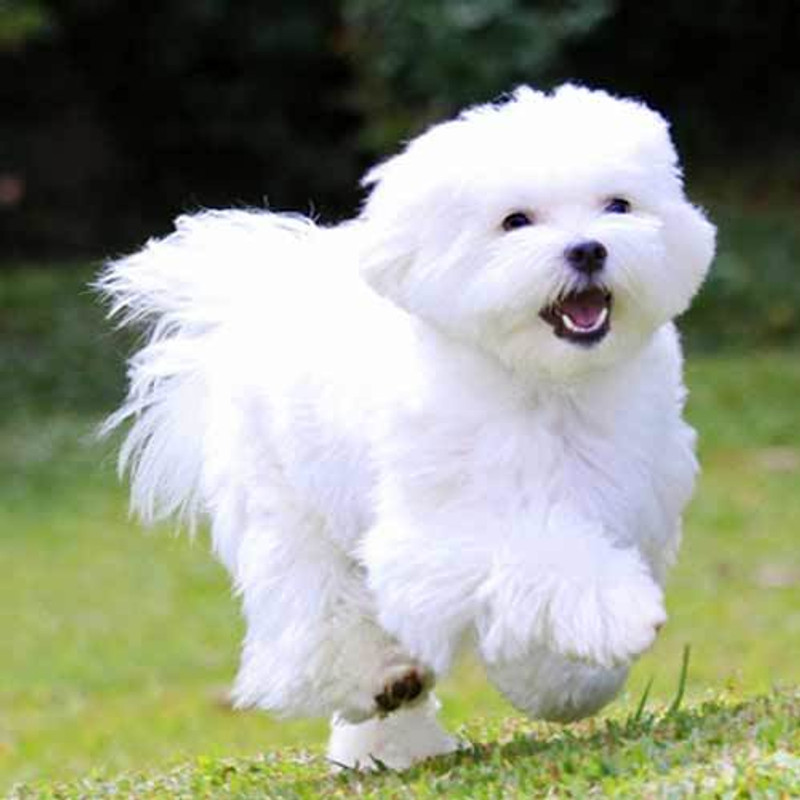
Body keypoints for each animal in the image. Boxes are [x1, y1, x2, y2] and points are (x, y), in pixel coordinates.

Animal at [97, 83, 716, 768]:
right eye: (515, 221)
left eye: (618, 205)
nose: (588, 249)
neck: (547, 387)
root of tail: (257, 299)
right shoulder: (440, 535)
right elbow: (539, 556)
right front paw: (617, 613)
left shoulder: (636, 506)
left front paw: (567, 684)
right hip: (287, 511)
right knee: (321, 618)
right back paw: (379, 679)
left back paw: (385, 741)